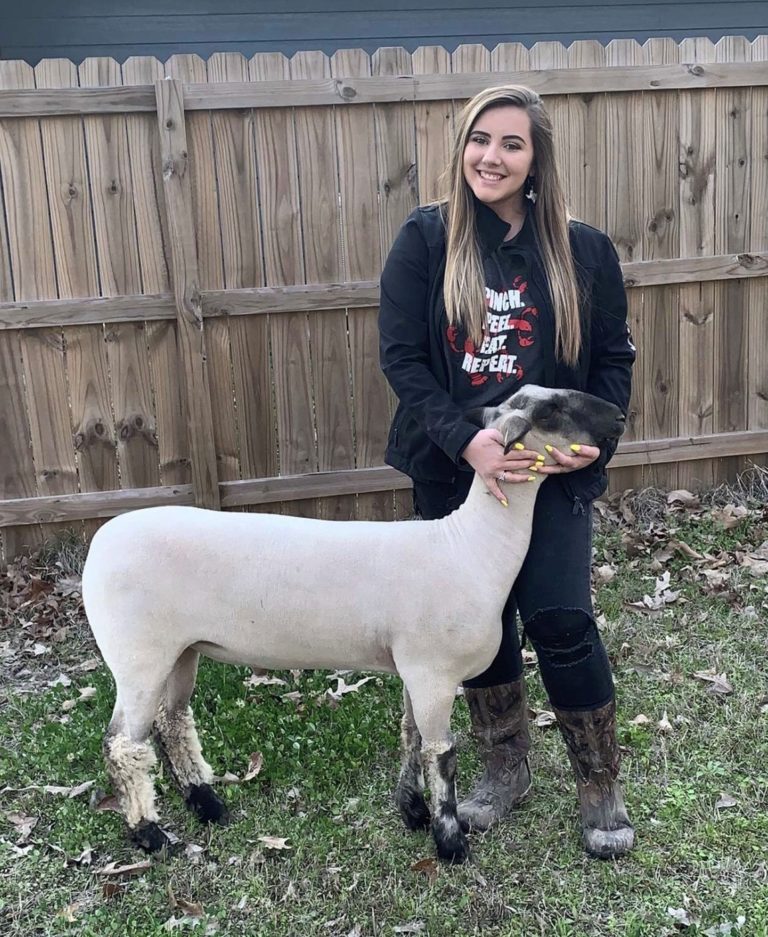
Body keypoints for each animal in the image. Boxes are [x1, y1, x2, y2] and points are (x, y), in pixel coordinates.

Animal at [82, 385, 625, 864]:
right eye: (551, 410)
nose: (619, 416)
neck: (469, 546)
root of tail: (98, 547)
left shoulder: (415, 669)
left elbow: (410, 738)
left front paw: (414, 814)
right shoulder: (433, 672)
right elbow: (441, 754)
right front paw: (450, 843)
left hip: (182, 650)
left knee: (172, 723)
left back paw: (208, 806)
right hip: (139, 655)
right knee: (123, 745)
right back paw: (151, 835)